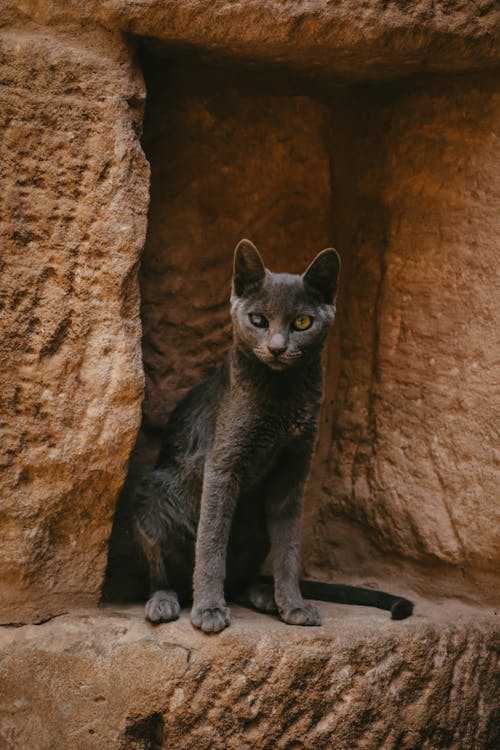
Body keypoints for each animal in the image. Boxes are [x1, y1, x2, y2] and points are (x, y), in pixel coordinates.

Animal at [133, 242, 414, 636]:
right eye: (258, 320)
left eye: (302, 322)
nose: (278, 347)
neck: (283, 398)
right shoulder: (223, 464)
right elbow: (211, 542)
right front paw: (208, 610)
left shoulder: (293, 470)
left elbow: (288, 547)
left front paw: (294, 606)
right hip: (151, 496)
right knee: (161, 574)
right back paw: (165, 602)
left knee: (242, 580)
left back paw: (265, 596)